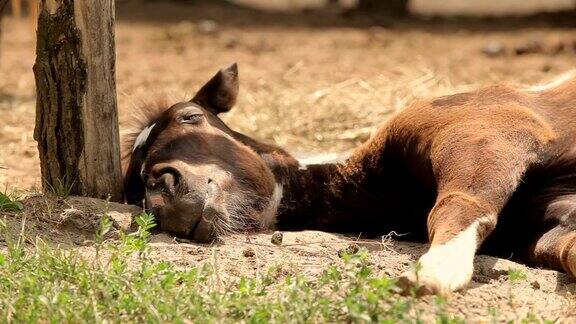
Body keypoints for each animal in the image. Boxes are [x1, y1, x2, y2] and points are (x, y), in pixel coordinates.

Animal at [122, 64, 576, 294]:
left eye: (190, 116)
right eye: (134, 187)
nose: (163, 186)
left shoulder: (488, 133)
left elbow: (461, 204)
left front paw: (433, 274)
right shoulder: (554, 212)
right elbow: (564, 246)